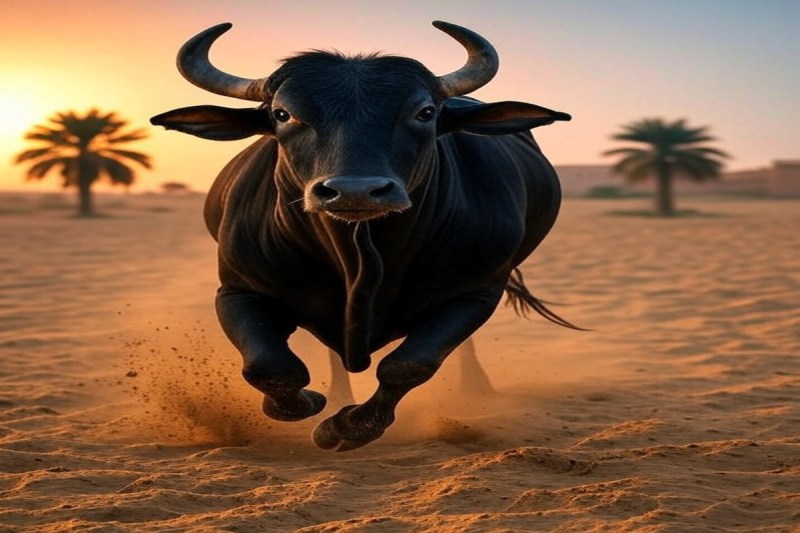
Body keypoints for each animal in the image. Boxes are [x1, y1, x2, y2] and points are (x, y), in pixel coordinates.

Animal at [151, 21, 572, 451]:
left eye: (425, 113)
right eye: (283, 114)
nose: (355, 191)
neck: (360, 255)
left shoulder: (476, 292)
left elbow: (409, 364)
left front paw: (346, 428)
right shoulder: (238, 290)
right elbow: (270, 367)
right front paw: (313, 401)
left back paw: (476, 387)